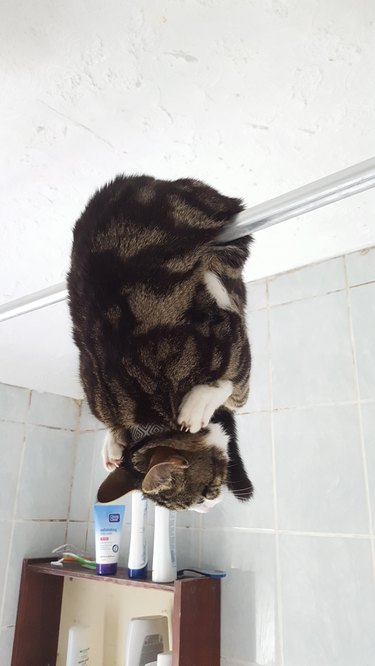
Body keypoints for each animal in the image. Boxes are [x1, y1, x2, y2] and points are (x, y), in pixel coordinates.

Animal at [68, 174, 256, 510]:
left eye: (204, 493)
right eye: (194, 502)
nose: (208, 508)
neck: (149, 422)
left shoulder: (230, 344)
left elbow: (235, 387)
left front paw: (200, 401)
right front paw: (112, 441)